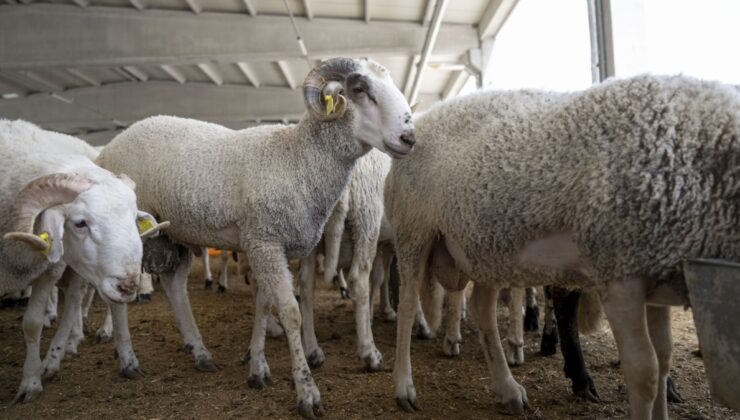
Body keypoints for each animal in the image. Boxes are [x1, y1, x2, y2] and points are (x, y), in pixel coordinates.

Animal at [0, 120, 167, 402]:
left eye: (134, 218)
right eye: (79, 223)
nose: (128, 286)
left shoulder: (47, 271)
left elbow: (32, 324)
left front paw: (31, 383)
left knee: (77, 301)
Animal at [94, 57, 414, 418]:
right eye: (359, 89)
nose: (409, 137)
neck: (296, 159)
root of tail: (108, 149)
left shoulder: (263, 243)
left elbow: (263, 303)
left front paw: (258, 368)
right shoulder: (265, 242)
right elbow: (289, 311)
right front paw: (307, 391)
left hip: (174, 232)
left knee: (175, 285)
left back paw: (199, 352)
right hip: (128, 231)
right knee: (118, 296)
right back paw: (127, 359)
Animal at [384, 75, 740, 420]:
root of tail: (426, 118)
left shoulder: (655, 274)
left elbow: (664, 358)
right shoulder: (618, 277)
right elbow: (645, 373)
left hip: (485, 247)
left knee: (481, 306)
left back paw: (507, 390)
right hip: (412, 229)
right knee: (407, 305)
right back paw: (404, 388)